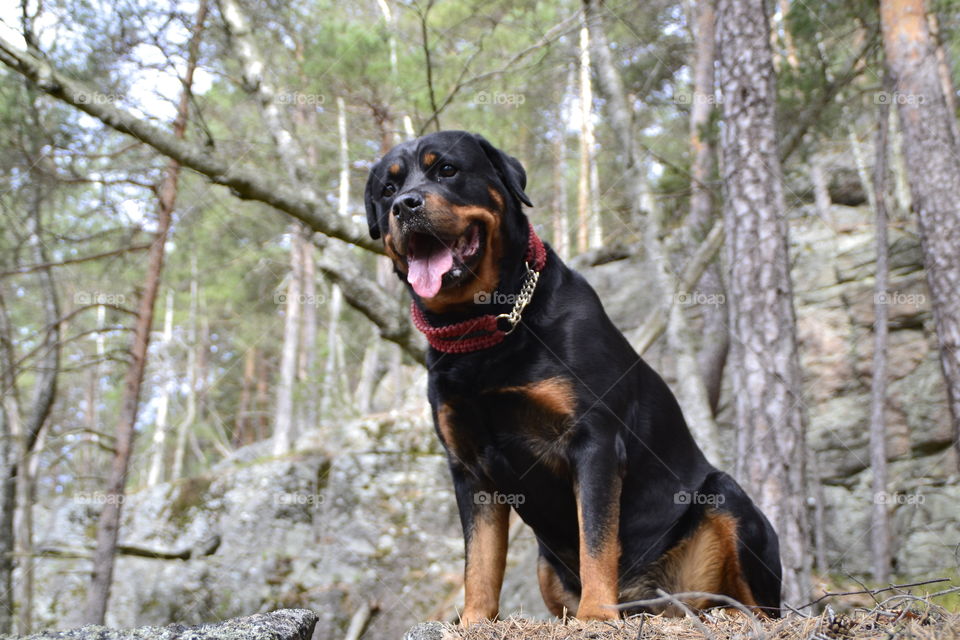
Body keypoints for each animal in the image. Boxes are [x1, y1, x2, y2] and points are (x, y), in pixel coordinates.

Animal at [364, 130, 784, 624]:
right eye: (387, 190)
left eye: (446, 170)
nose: (405, 204)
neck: (486, 329)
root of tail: (652, 602)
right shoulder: (469, 467)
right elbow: (479, 563)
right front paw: (473, 620)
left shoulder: (594, 440)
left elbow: (596, 540)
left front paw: (597, 614)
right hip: (548, 567)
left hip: (727, 500)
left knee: (759, 604)